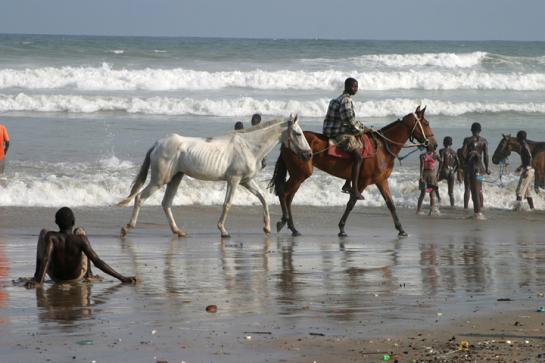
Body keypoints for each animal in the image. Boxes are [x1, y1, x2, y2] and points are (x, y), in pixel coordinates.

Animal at [118, 114, 310, 239]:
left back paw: (178, 231)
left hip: (175, 179)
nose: (308, 154)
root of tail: (157, 144)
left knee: (166, 203)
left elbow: (263, 198)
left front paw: (267, 227)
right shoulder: (234, 180)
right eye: (298, 133)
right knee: (140, 198)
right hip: (160, 180)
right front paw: (223, 231)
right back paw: (127, 228)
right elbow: (227, 204)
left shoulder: (246, 181)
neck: (249, 146)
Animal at [270, 106, 436, 237]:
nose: (434, 144)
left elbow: (390, 204)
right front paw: (341, 228)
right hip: (300, 174)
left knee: (288, 197)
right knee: (284, 193)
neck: (383, 148)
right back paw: (286, 223)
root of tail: (287, 142)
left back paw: (291, 226)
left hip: (297, 175)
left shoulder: (381, 181)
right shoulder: (363, 181)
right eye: (426, 123)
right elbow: (352, 202)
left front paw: (401, 229)